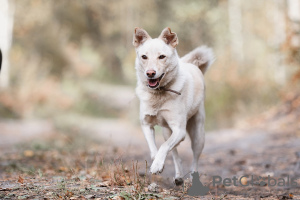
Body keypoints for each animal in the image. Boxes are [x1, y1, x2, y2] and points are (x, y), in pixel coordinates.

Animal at [133, 27, 213, 185]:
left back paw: (192, 177)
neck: (158, 94)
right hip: (166, 132)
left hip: (198, 135)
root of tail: (193, 64)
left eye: (161, 57)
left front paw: (157, 165)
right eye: (144, 57)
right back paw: (178, 176)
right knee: (175, 153)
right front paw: (157, 162)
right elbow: (154, 148)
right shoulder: (146, 125)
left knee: (194, 157)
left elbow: (164, 147)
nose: (150, 73)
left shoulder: (179, 130)